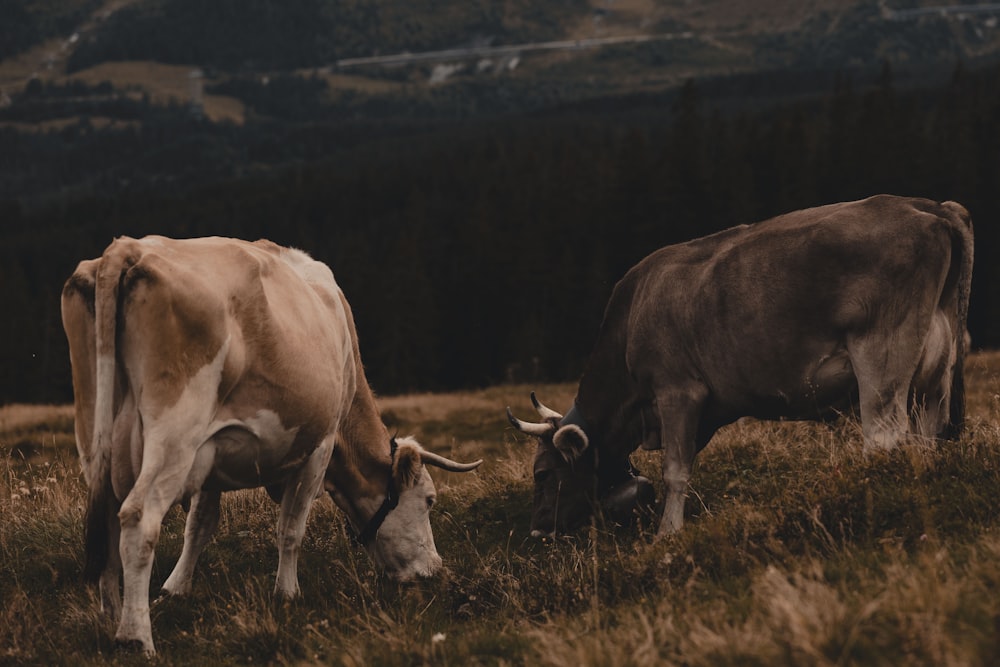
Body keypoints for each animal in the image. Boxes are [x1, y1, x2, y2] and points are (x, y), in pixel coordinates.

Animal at [62, 237, 484, 656]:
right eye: (429, 499)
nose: (434, 568)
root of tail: (129, 248)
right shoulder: (320, 445)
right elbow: (291, 527)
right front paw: (287, 594)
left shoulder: (211, 450)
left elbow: (199, 524)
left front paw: (176, 586)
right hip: (174, 433)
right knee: (138, 520)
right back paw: (136, 636)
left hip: (95, 431)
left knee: (107, 518)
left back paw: (109, 616)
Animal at [508, 196, 968, 540]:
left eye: (541, 474)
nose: (537, 532)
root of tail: (927, 206)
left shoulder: (678, 391)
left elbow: (675, 471)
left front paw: (667, 535)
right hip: (937, 365)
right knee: (930, 430)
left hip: (882, 353)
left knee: (884, 436)